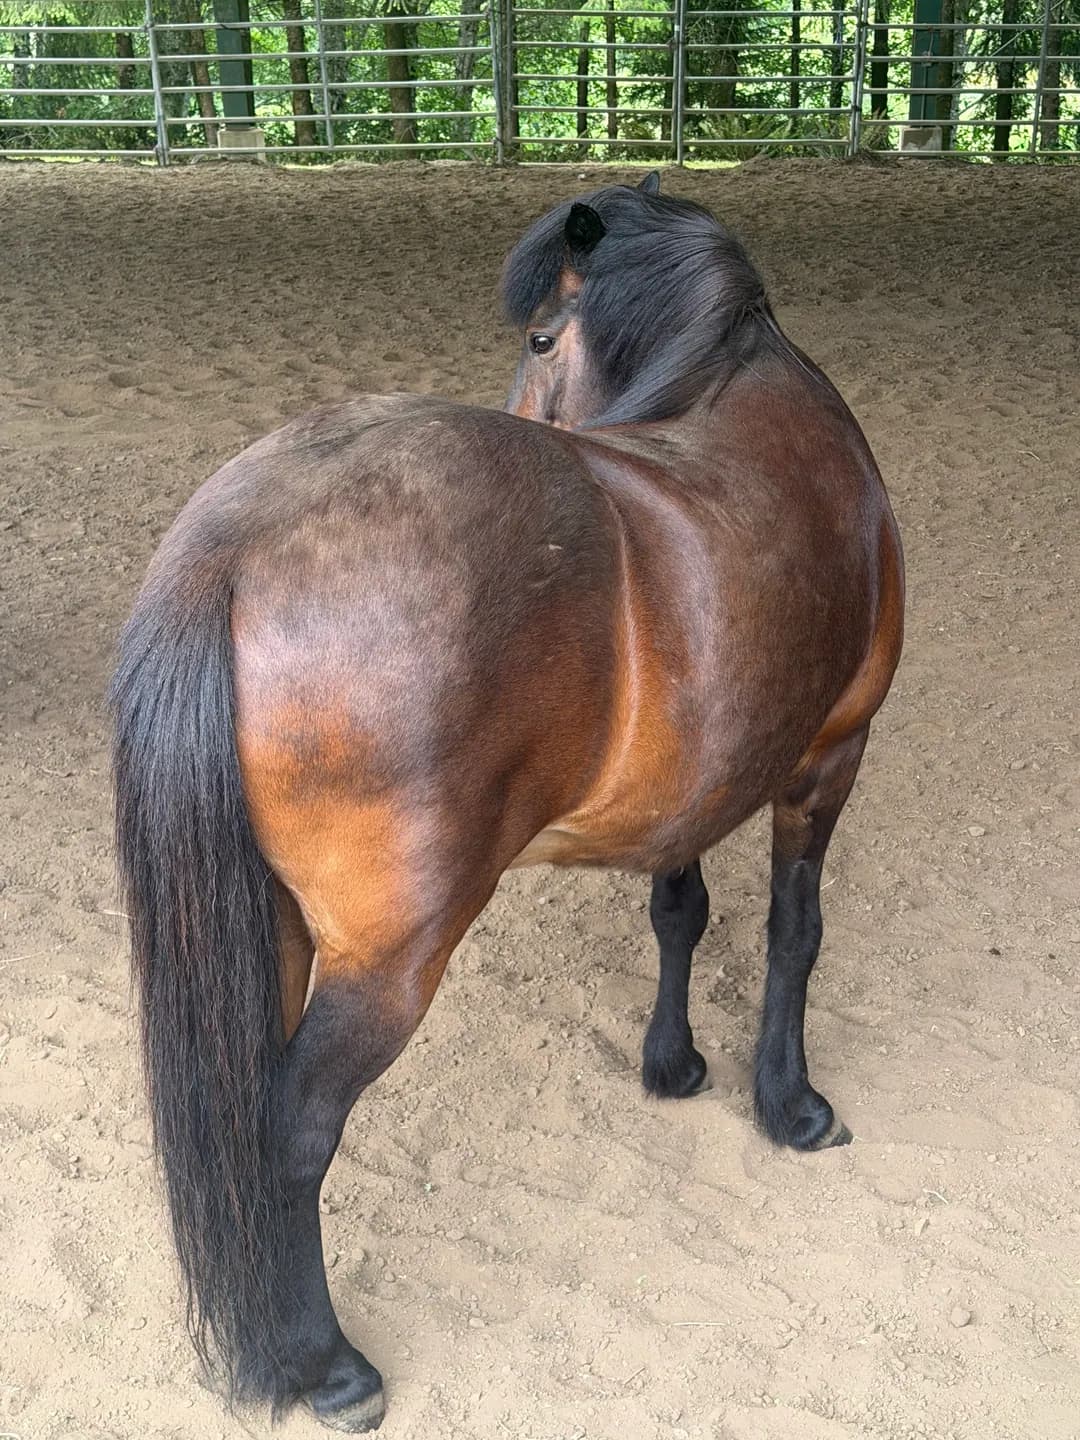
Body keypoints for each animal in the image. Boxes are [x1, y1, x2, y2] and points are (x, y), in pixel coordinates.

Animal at [111, 171, 903, 1432]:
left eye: (540, 338)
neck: (741, 381)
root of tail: (232, 543)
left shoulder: (696, 789)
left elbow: (681, 912)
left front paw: (674, 1066)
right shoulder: (830, 756)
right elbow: (796, 931)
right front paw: (789, 1103)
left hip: (265, 927)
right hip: (387, 959)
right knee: (289, 1132)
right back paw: (326, 1365)